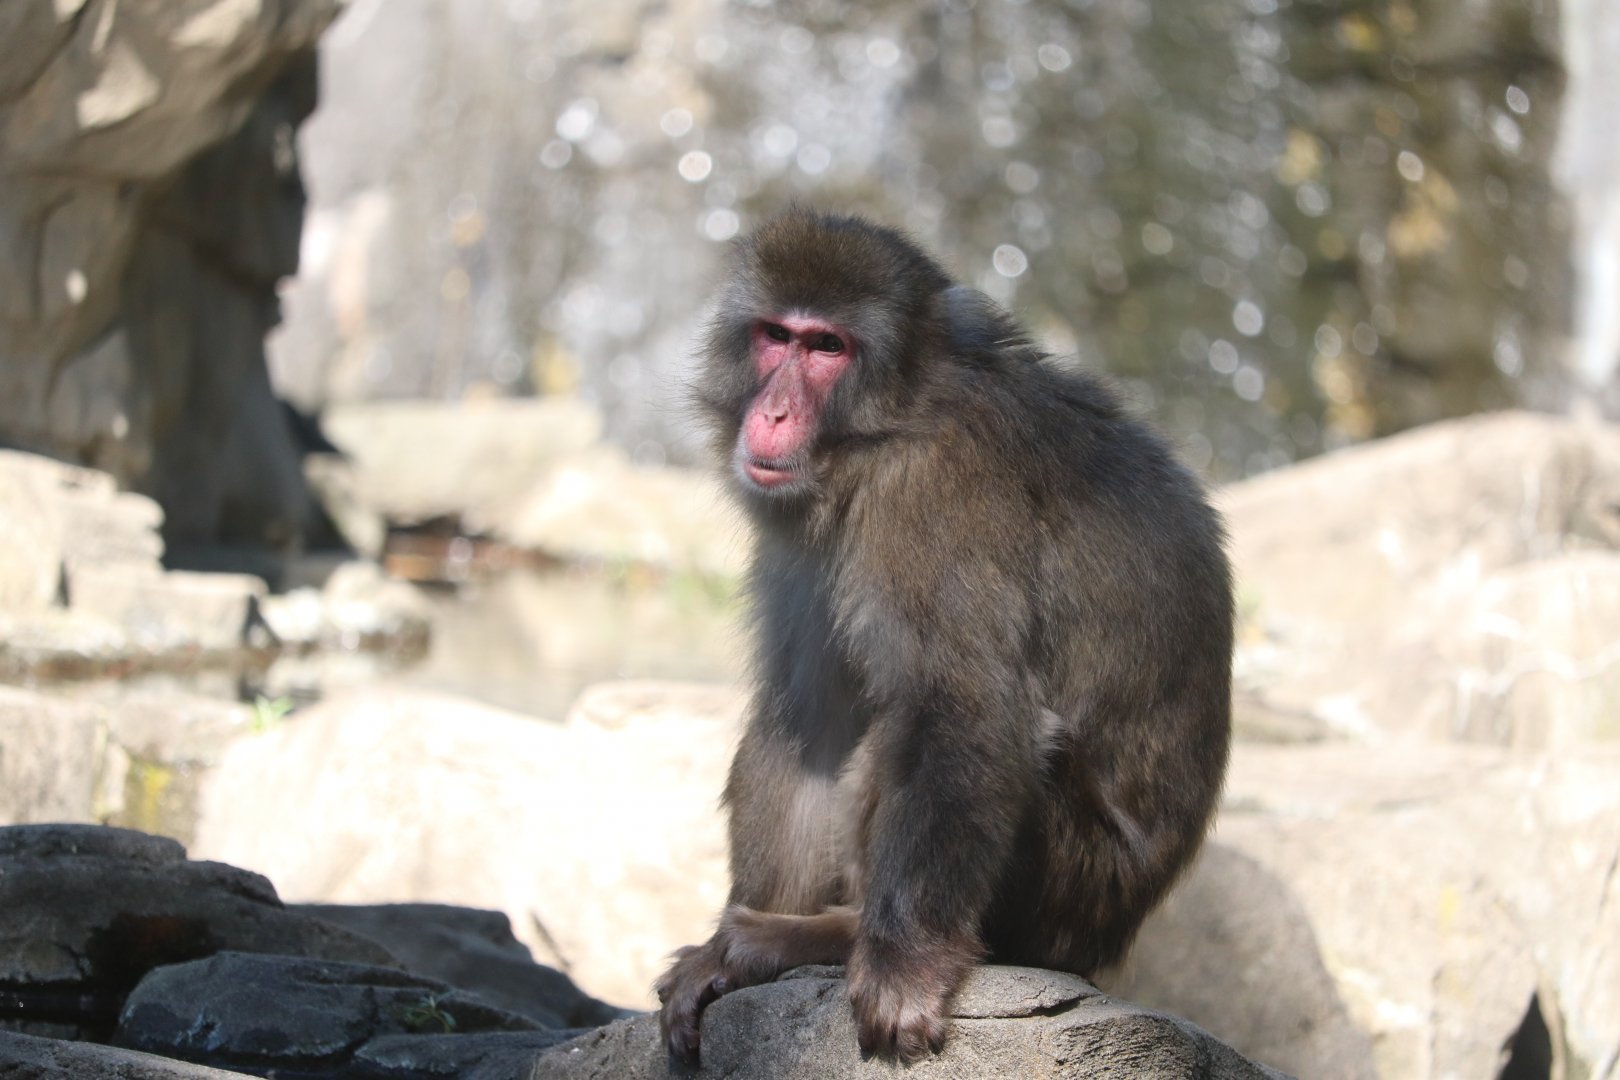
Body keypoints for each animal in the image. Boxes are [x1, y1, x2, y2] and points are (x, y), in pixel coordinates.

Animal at [656, 210, 1233, 1066]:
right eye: (775, 336)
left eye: (828, 347)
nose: (774, 414)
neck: (891, 424)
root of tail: (1112, 942)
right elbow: (810, 719)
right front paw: (711, 961)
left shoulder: (932, 493)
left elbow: (964, 708)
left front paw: (904, 965)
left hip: (1068, 890)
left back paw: (839, 934)